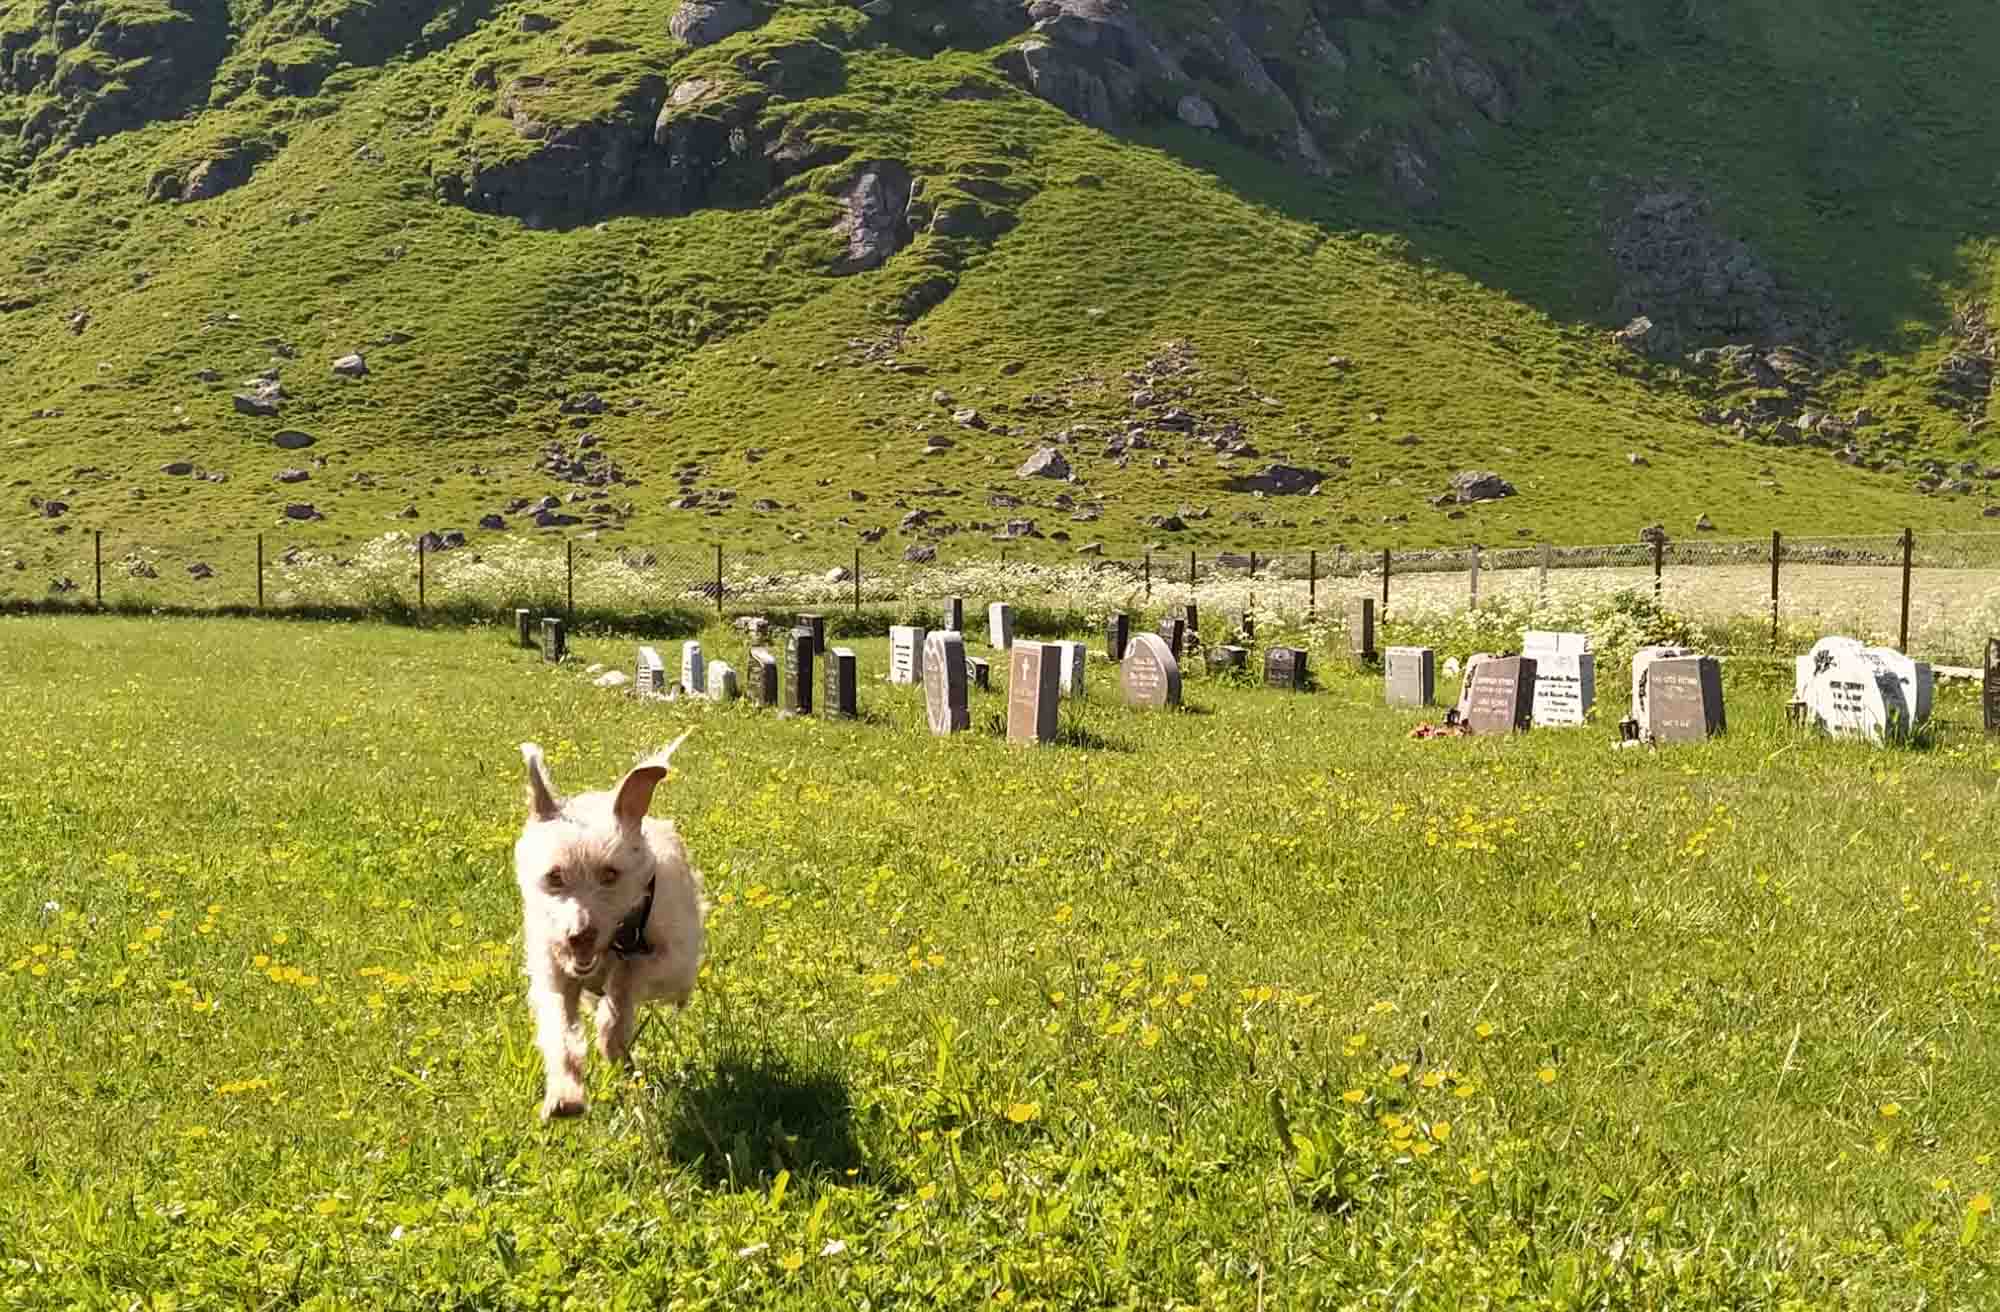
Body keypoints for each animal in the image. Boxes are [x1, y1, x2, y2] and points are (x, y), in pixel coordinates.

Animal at [512, 732, 705, 1119]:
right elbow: (559, 1027)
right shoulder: (554, 974)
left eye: (610, 874)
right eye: (554, 876)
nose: (579, 935)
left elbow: (627, 977)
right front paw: (565, 1095)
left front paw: (611, 1035)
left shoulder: (672, 960)